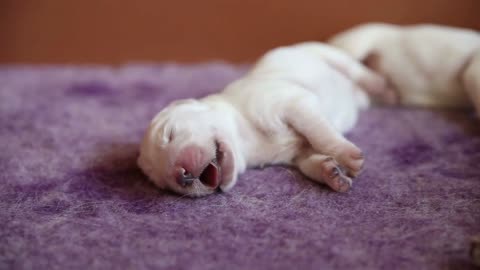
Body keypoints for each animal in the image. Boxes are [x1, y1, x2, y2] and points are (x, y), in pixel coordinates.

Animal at [137, 43, 388, 197]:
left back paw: (381, 85)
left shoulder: (292, 103)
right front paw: (331, 173)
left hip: (321, 52)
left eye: (169, 134)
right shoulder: (298, 153)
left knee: (354, 67)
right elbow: (310, 161)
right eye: (163, 183)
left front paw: (347, 155)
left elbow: (320, 134)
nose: (180, 175)